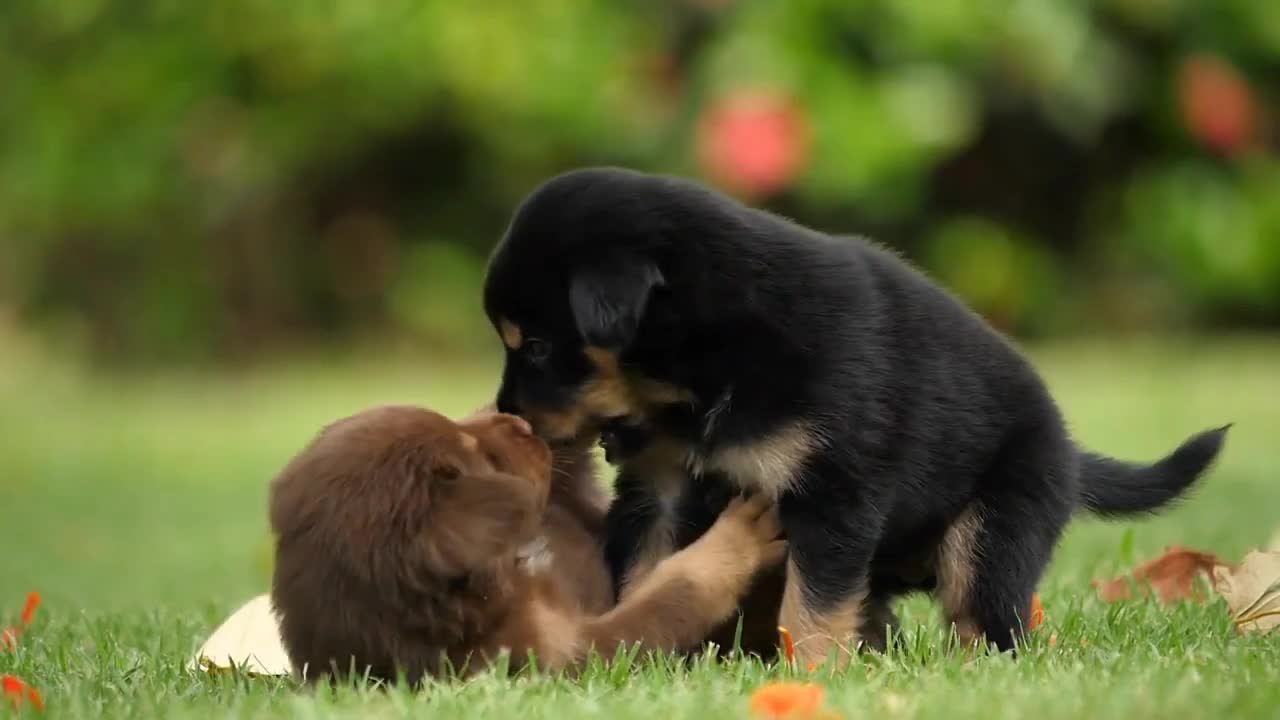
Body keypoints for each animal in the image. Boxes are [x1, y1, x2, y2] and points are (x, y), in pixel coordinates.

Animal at [268, 404, 778, 676]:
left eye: (458, 425)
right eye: (482, 457)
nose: (522, 423)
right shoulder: (571, 651)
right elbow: (670, 597)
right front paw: (739, 539)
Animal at [481, 165, 1228, 666]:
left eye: (538, 346)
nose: (509, 417)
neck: (706, 370)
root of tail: (1068, 450)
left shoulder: (833, 490)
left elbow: (811, 606)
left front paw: (809, 675)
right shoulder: (659, 487)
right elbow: (648, 573)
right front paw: (646, 656)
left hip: (994, 530)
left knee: (986, 622)